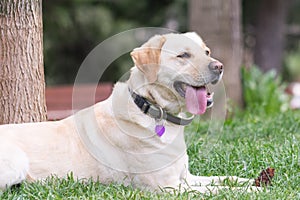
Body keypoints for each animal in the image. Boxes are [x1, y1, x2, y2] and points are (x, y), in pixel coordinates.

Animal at [0, 32, 255, 194]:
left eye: (207, 51)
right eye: (183, 55)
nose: (219, 66)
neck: (152, 108)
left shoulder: (186, 177)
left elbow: (227, 179)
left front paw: (253, 181)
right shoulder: (169, 187)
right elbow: (219, 190)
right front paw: (251, 190)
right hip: (17, 162)